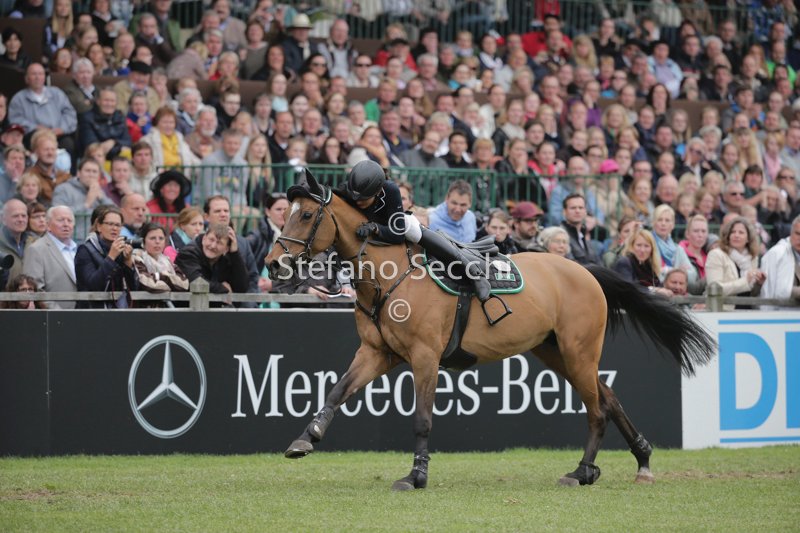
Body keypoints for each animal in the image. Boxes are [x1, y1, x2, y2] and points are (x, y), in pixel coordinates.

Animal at [266, 171, 715, 490]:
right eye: (286, 212)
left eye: (306, 215)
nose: (273, 264)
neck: (388, 276)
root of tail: (584, 270)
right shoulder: (377, 353)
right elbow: (338, 390)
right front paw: (306, 438)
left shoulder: (424, 357)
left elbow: (422, 420)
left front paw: (416, 476)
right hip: (557, 353)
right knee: (608, 397)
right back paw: (641, 460)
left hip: (578, 353)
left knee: (598, 409)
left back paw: (584, 470)